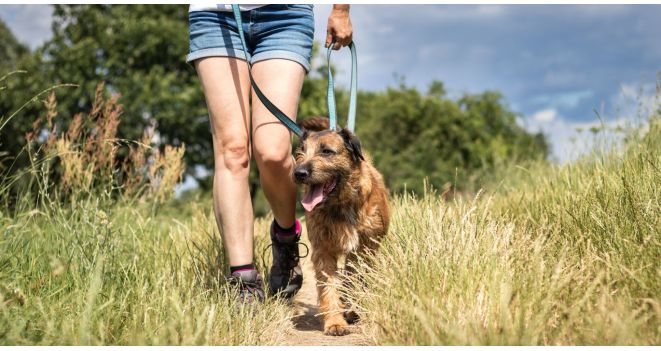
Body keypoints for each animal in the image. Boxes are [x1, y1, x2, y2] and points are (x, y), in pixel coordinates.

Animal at [292, 117, 386, 336]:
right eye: (301, 151)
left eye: (326, 151)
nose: (299, 173)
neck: (341, 204)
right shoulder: (323, 251)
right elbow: (329, 286)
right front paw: (335, 322)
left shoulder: (365, 248)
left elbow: (356, 279)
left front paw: (351, 309)